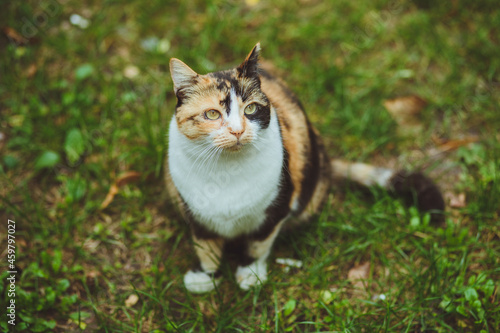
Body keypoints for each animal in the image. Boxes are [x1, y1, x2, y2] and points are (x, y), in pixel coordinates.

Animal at [165, 42, 446, 292]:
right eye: (212, 114)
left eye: (251, 109)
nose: (237, 130)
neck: (226, 170)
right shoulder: (194, 212)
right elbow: (205, 247)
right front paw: (205, 278)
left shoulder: (277, 207)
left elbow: (258, 243)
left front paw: (250, 275)